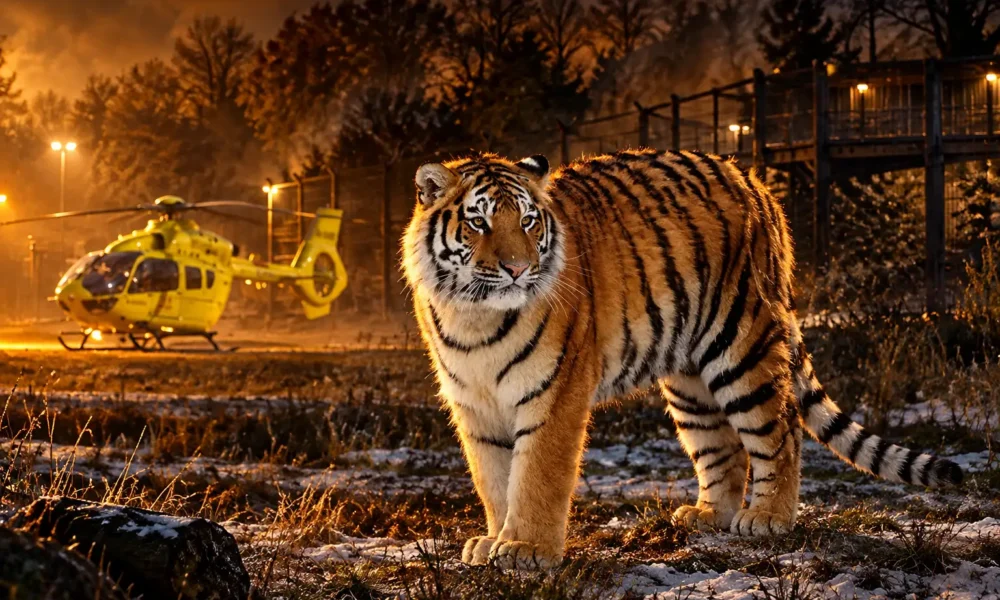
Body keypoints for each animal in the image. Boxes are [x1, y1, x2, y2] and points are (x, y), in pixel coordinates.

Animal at [401, 149, 962, 570]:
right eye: (478, 222)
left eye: (528, 221)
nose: (519, 269)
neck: (474, 316)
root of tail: (754, 181)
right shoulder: (475, 406)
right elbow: (494, 480)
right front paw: (492, 541)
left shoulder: (553, 395)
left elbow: (535, 473)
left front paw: (525, 548)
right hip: (689, 375)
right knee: (725, 448)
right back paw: (709, 515)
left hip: (742, 342)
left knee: (780, 429)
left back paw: (768, 518)